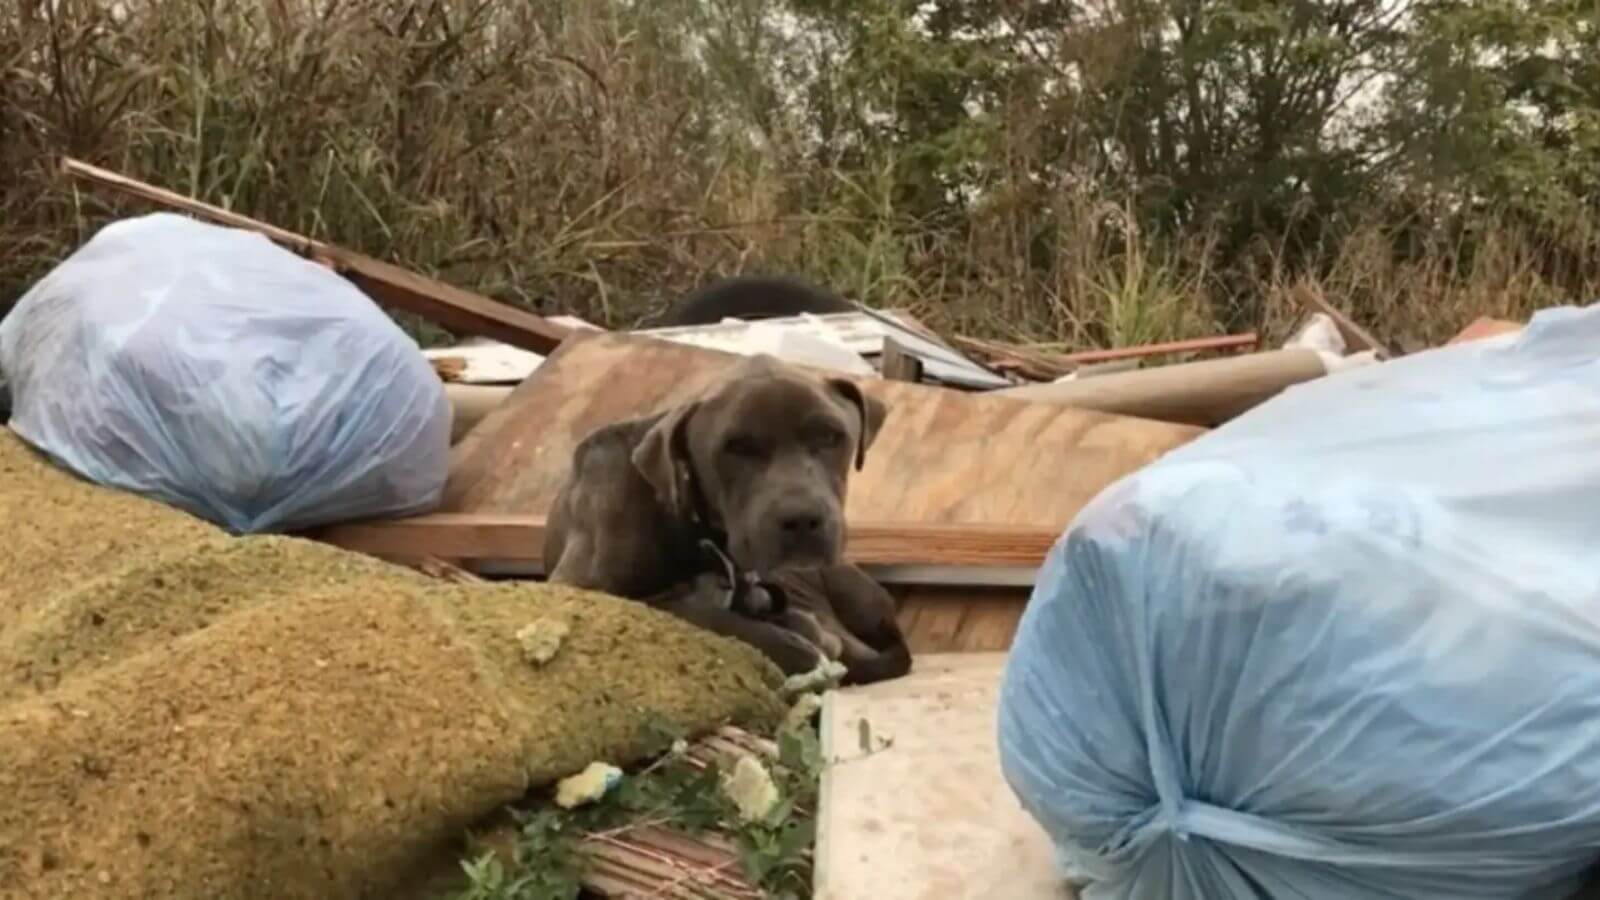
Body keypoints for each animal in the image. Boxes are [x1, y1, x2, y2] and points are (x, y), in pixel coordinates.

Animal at [544, 350, 908, 679]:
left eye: (831, 436)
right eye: (736, 447)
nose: (802, 520)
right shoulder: (576, 587)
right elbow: (681, 610)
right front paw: (789, 644)